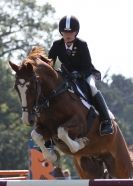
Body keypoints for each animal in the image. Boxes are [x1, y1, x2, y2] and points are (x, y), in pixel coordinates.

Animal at [8, 46, 132, 179]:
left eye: (32, 87)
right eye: (16, 88)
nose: (27, 120)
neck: (53, 97)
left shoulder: (80, 123)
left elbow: (62, 131)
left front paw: (81, 143)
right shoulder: (46, 128)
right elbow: (35, 135)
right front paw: (52, 156)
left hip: (120, 166)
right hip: (88, 168)